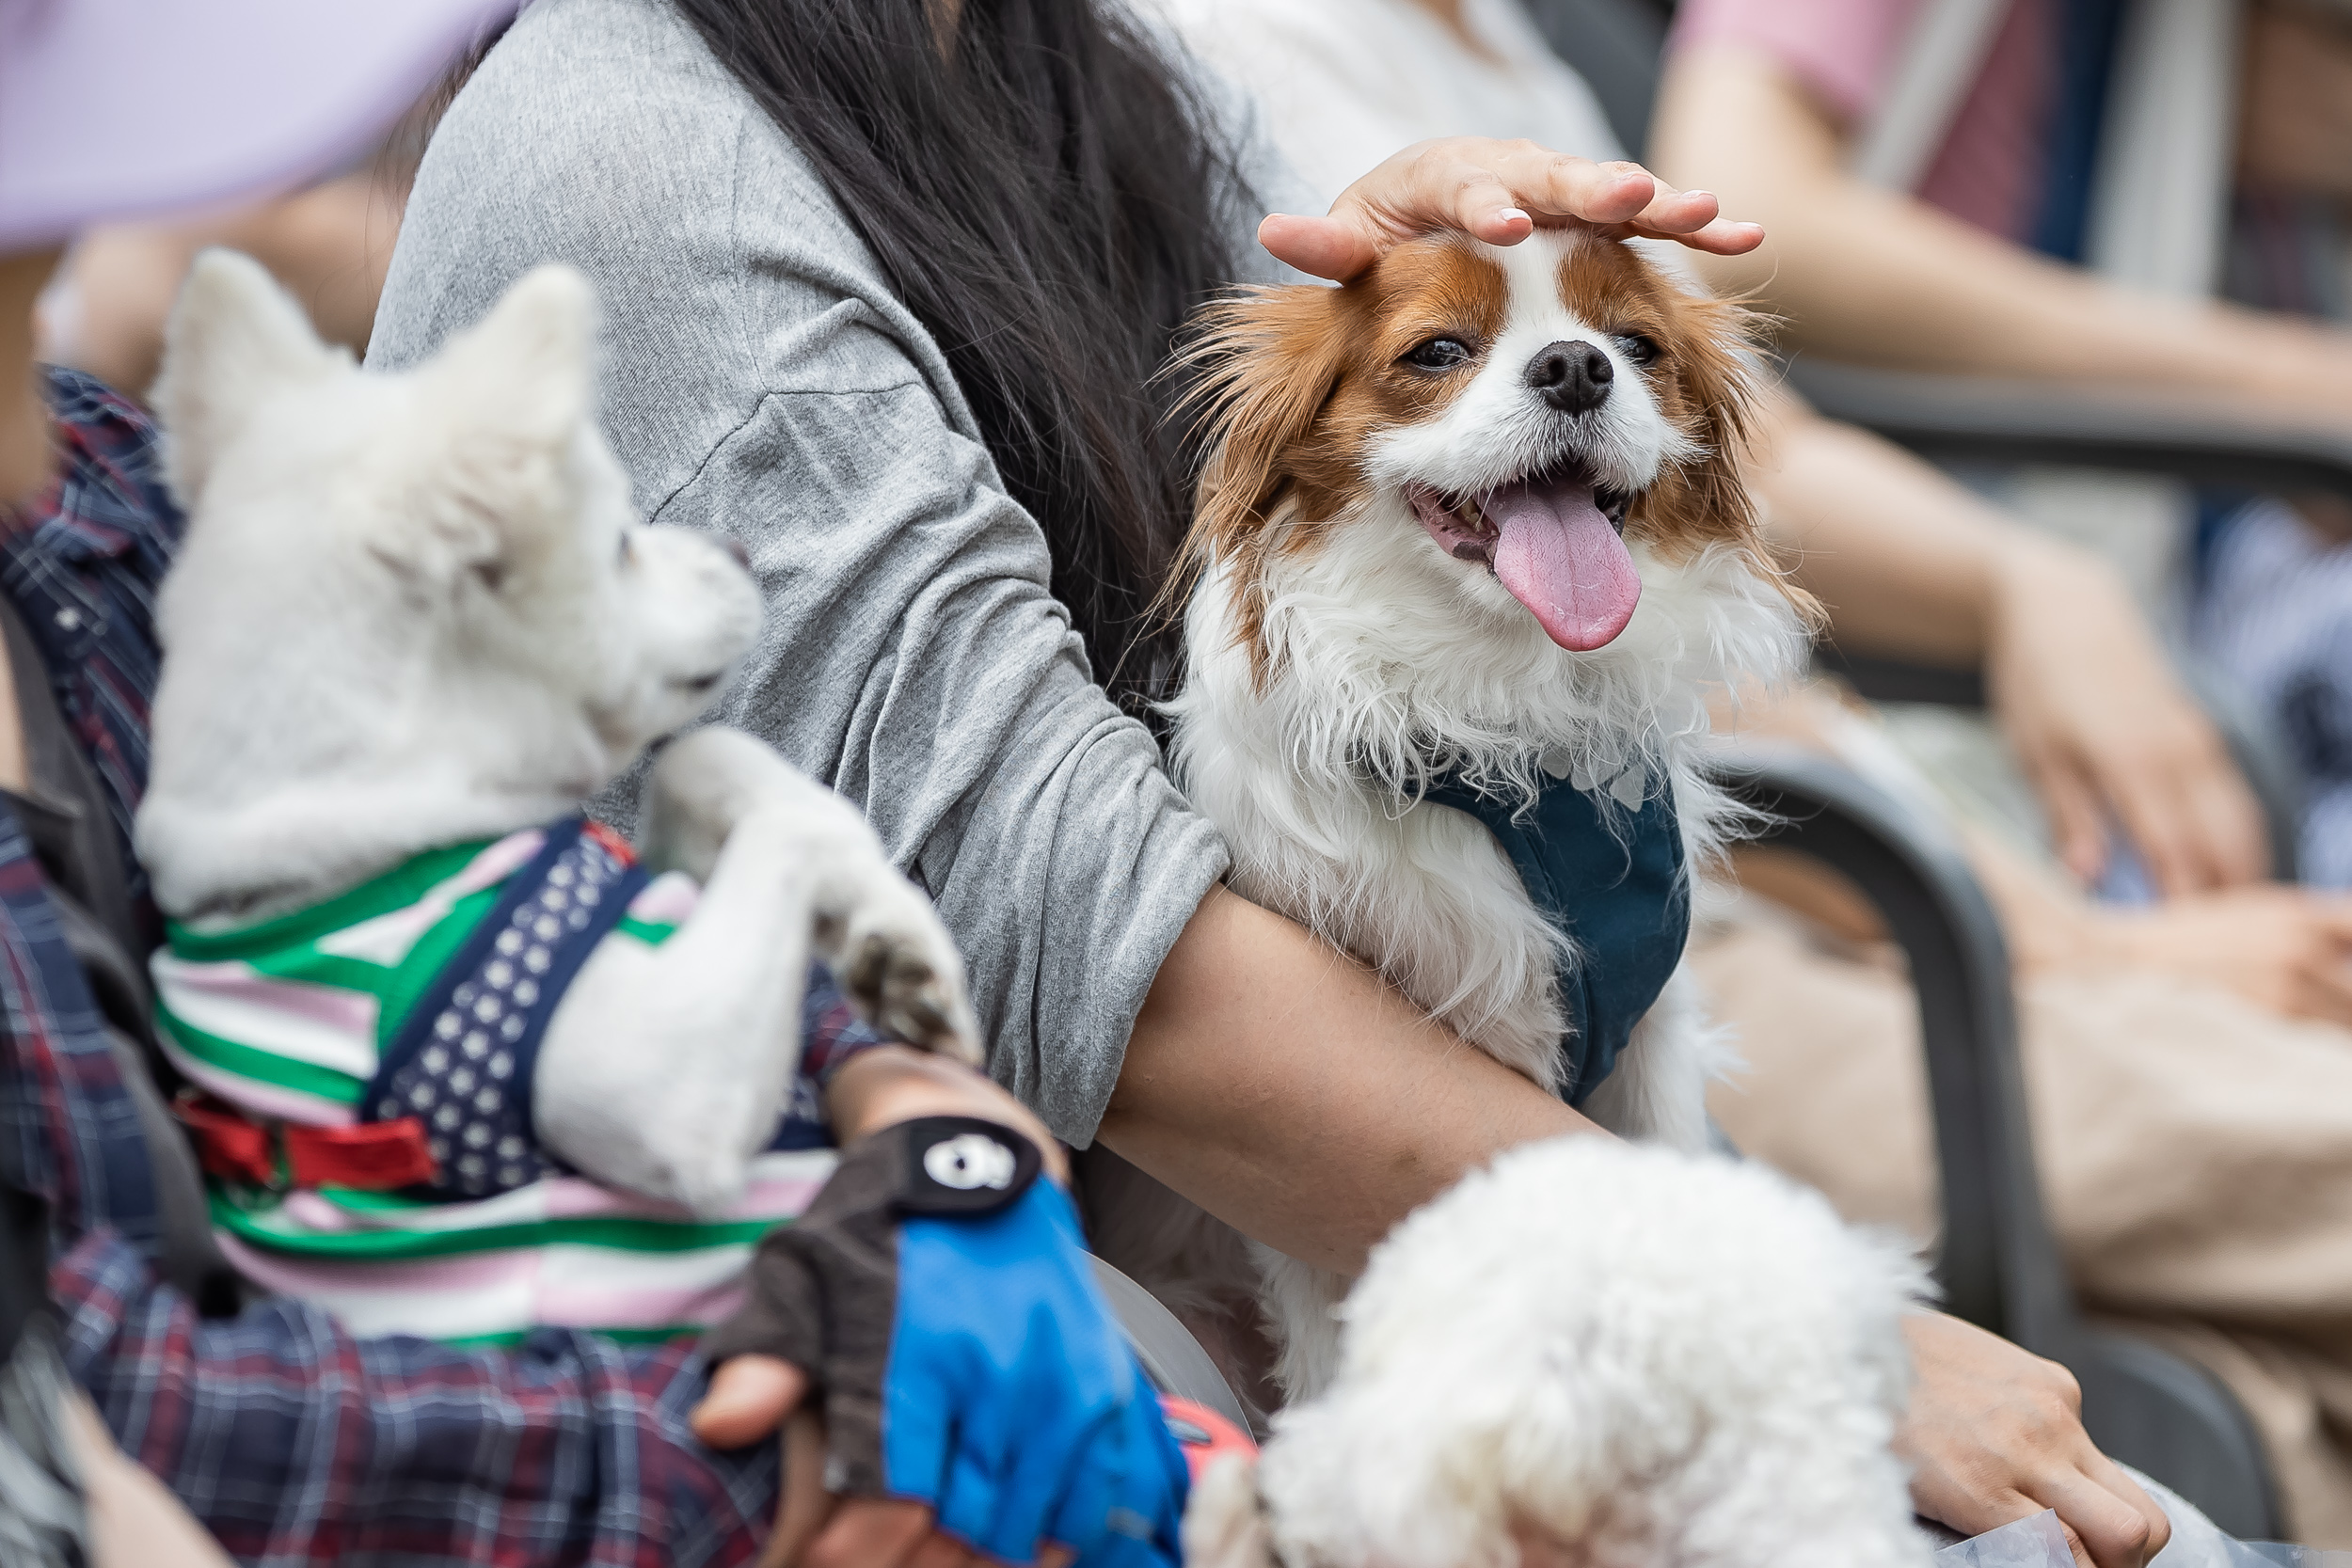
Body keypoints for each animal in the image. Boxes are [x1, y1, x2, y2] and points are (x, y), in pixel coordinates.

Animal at [139, 255, 974, 1212]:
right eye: (617, 543)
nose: (738, 550)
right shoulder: (658, 1087)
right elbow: (777, 823)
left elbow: (705, 755)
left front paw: (888, 936)